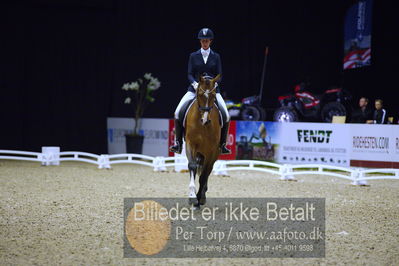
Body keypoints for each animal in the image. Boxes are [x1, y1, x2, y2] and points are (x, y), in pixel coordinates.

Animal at [184, 74, 222, 207]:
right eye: (199, 94)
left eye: (214, 96)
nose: (205, 120)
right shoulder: (190, 143)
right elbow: (192, 166)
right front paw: (192, 196)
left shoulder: (211, 150)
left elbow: (204, 174)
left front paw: (199, 198)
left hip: (212, 154)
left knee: (208, 171)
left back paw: (202, 196)